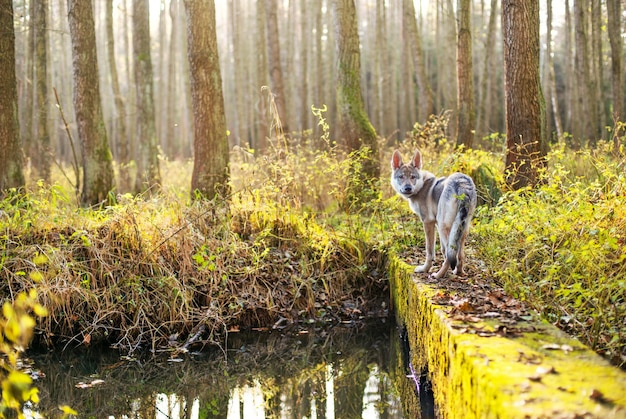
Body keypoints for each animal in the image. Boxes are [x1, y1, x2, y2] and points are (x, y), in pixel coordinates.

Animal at [388, 149, 476, 280]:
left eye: (413, 177)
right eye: (401, 177)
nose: (408, 188)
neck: (421, 187)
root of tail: (462, 182)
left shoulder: (428, 222)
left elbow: (429, 251)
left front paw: (424, 269)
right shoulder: (437, 224)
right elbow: (444, 251)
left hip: (444, 226)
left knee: (449, 255)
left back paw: (438, 275)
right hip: (462, 228)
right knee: (459, 254)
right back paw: (459, 272)